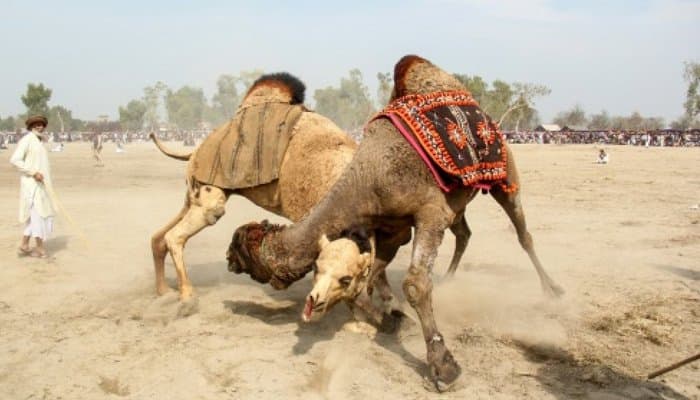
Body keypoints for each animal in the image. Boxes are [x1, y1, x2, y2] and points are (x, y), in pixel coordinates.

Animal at [225, 56, 564, 391]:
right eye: (318, 269)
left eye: (244, 248)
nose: (229, 259)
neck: (370, 177)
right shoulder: (391, 227)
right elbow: (370, 278)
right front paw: (391, 318)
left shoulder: (430, 213)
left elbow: (414, 284)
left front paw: (443, 366)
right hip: (457, 204)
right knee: (465, 233)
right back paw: (449, 279)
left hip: (505, 176)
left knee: (523, 233)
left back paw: (553, 290)